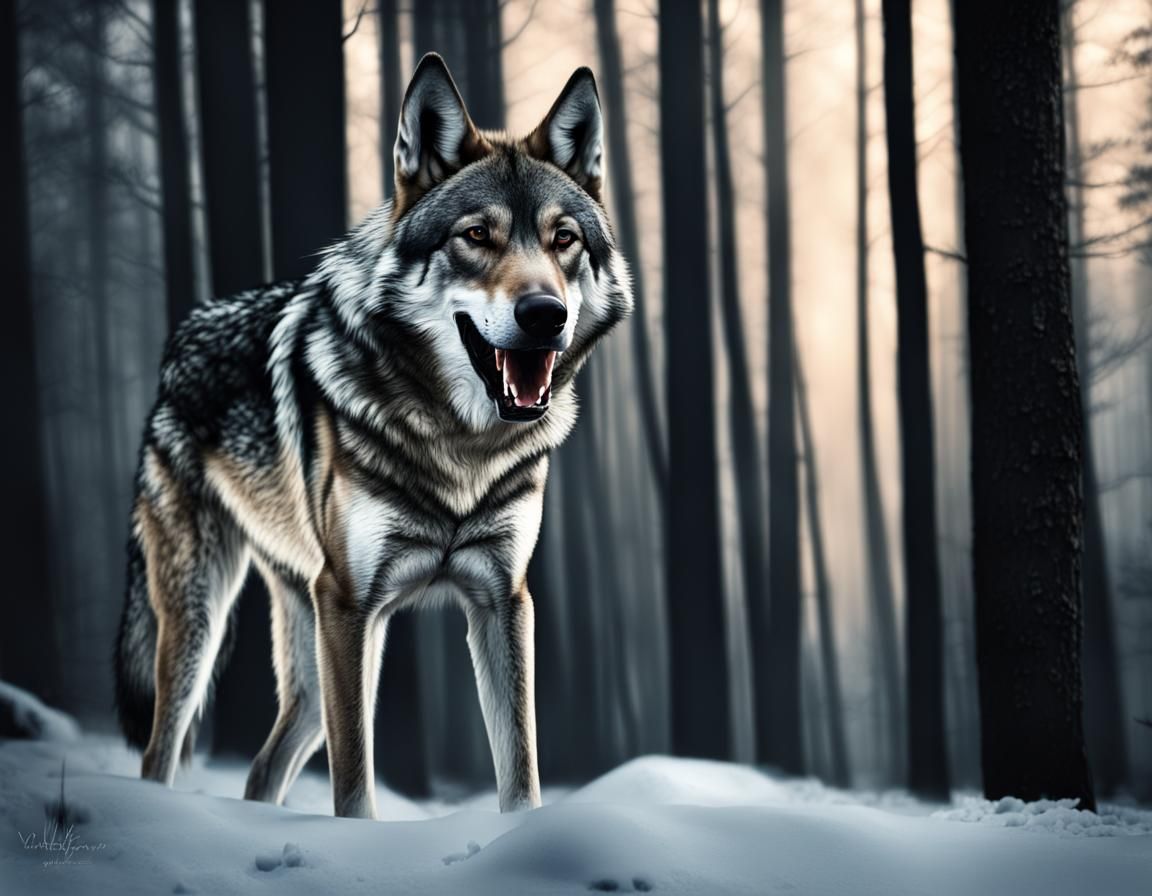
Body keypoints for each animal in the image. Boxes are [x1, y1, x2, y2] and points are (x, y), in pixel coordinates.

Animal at [113, 54, 631, 819]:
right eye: (476, 236)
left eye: (563, 239)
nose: (545, 314)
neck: (459, 448)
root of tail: (178, 339)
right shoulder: (351, 603)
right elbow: (355, 782)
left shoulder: (501, 601)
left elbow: (521, 772)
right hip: (208, 620)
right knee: (159, 753)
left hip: (312, 657)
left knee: (262, 772)